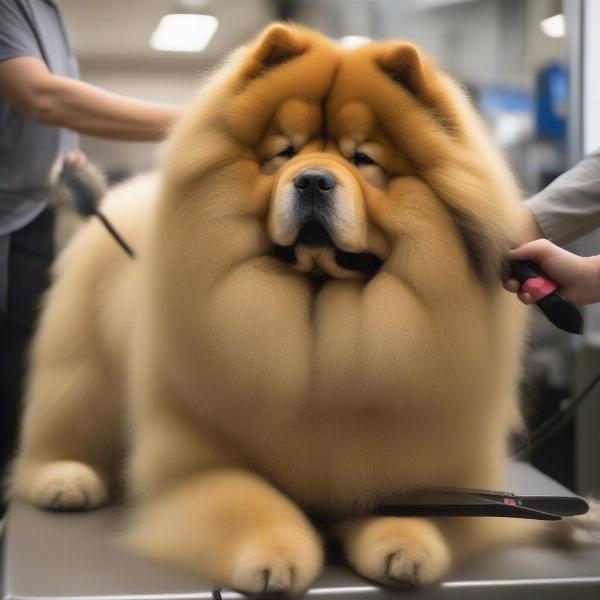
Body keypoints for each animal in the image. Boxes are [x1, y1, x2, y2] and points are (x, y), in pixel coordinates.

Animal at [4, 22, 580, 592]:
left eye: (363, 159)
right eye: (284, 152)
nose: (313, 179)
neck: (320, 315)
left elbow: (407, 501)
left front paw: (405, 546)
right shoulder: (197, 457)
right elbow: (248, 500)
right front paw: (272, 558)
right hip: (82, 370)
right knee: (62, 423)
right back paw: (65, 480)